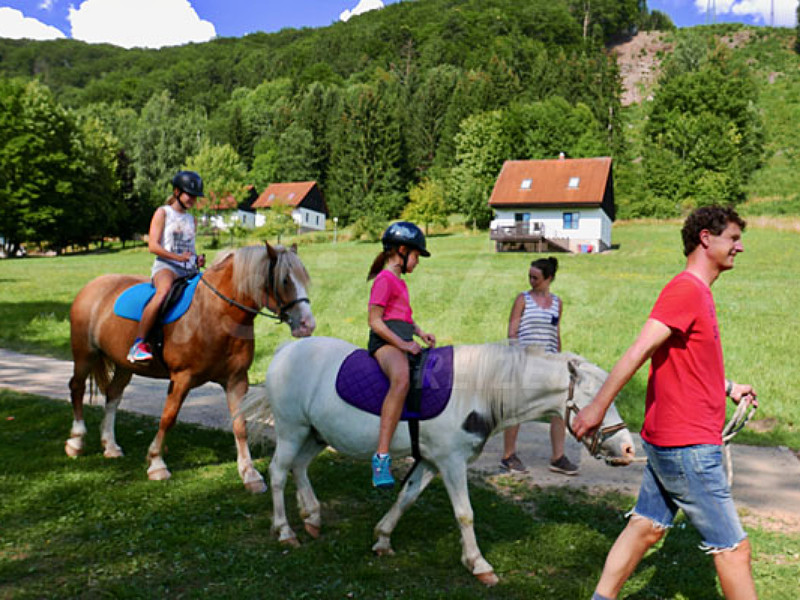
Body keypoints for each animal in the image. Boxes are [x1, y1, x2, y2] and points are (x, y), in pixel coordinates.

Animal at [66, 244, 316, 492]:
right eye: (285, 280)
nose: (308, 324)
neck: (217, 314)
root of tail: (93, 285)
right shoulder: (182, 378)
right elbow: (168, 417)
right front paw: (156, 463)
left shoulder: (236, 380)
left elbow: (240, 425)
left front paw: (250, 474)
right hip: (85, 354)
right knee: (77, 387)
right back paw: (76, 441)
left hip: (123, 365)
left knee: (113, 395)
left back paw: (110, 446)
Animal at [241, 338, 636, 584]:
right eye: (597, 396)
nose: (630, 449)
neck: (477, 389)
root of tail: (286, 349)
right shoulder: (451, 462)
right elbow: (465, 514)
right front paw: (477, 564)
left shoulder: (431, 462)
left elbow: (406, 498)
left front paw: (382, 539)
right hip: (291, 429)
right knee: (278, 472)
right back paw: (286, 530)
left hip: (315, 433)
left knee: (299, 467)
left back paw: (311, 516)